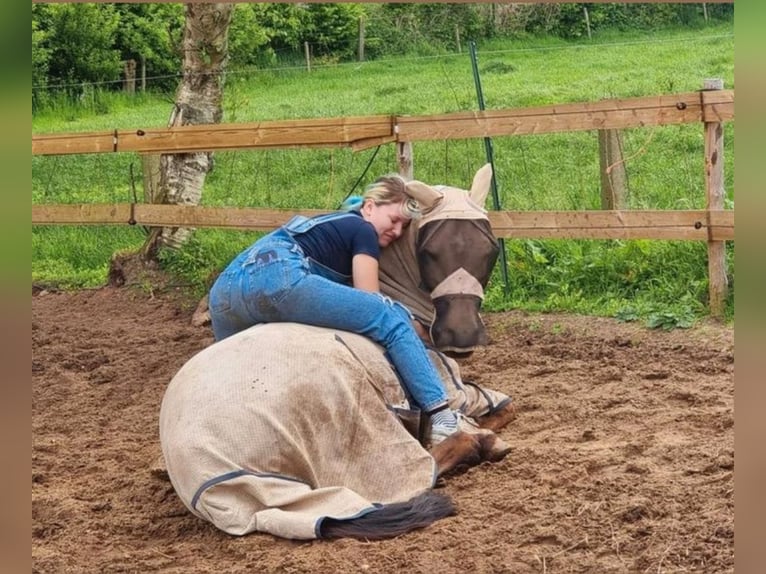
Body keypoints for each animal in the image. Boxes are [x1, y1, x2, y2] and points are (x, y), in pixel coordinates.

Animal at [159, 164, 520, 544]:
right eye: (429, 251)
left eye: (489, 248)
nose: (461, 336)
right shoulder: (456, 391)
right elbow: (502, 408)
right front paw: (476, 428)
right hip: (369, 428)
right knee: (424, 465)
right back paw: (482, 442)